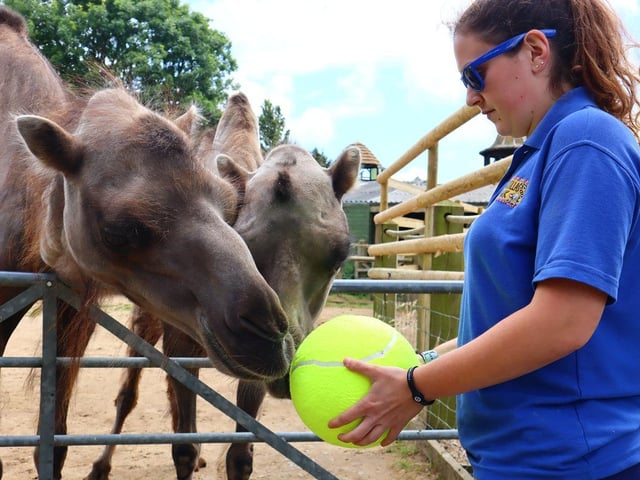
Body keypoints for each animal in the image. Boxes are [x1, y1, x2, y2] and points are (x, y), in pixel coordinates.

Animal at [85, 93, 361, 480]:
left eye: (340, 252)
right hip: (147, 316)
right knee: (128, 393)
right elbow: (182, 448)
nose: (290, 359)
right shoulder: (186, 338)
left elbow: (240, 455)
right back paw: (100, 465)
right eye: (244, 243)